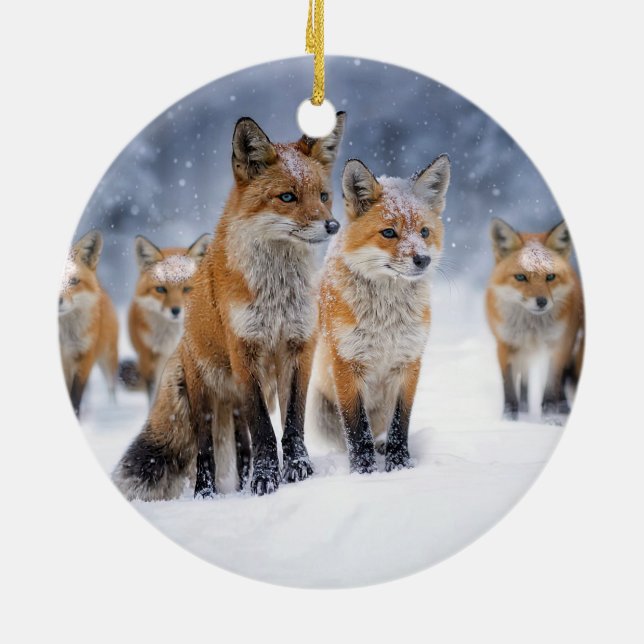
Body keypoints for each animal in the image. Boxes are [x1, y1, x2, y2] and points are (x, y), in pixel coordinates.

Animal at [307, 155, 451, 474]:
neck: (386, 322)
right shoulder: (347, 363)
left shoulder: (409, 362)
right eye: (389, 233)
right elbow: (357, 429)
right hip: (320, 411)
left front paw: (399, 466)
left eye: (424, 232)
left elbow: (400, 424)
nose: (423, 259)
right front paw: (365, 473)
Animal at [486, 218, 584, 420]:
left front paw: (550, 418)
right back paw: (524, 409)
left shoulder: (559, 346)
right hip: (523, 352)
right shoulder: (505, 345)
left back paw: (562, 409)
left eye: (550, 276)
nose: (541, 302)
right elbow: (509, 389)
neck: (532, 328)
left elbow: (551, 388)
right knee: (524, 382)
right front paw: (509, 419)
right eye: (521, 277)